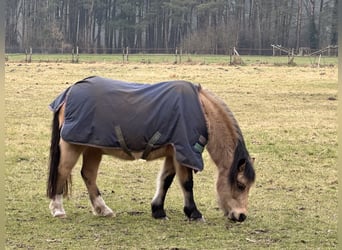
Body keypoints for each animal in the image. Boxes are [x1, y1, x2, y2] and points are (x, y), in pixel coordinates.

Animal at [46, 77, 255, 222]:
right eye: (241, 185)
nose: (241, 216)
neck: (203, 112)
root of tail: (68, 93)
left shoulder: (174, 153)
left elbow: (166, 180)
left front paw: (158, 210)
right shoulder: (184, 153)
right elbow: (187, 183)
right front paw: (194, 213)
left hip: (93, 148)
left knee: (88, 175)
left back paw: (103, 209)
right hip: (73, 146)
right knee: (62, 171)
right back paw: (58, 209)